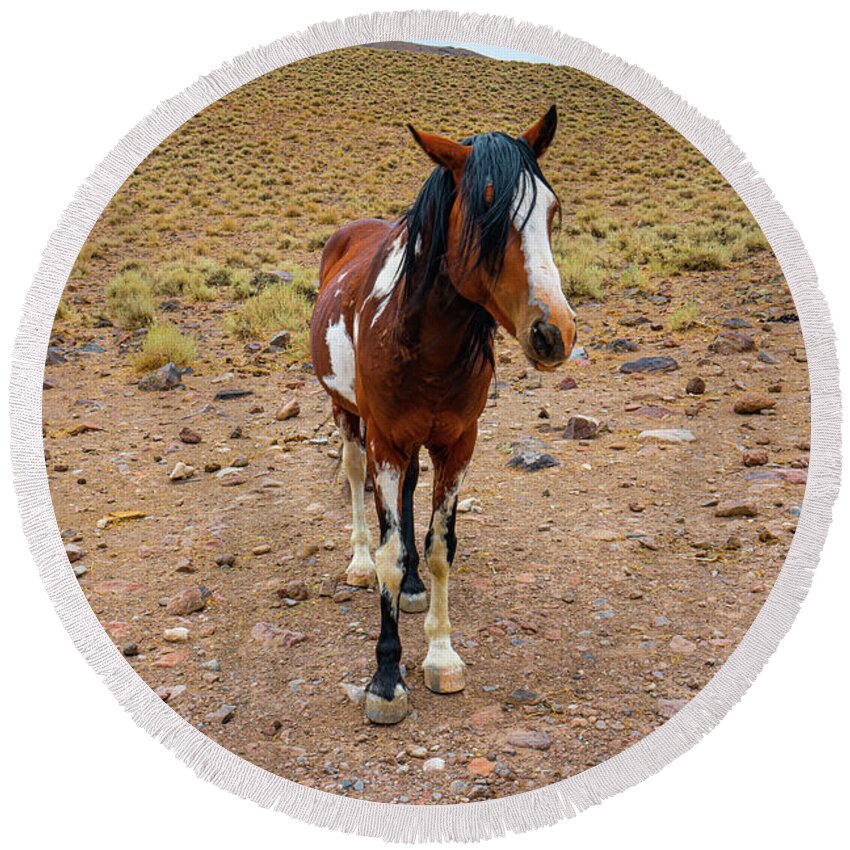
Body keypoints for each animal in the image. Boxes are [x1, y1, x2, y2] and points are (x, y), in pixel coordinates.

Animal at [308, 106, 572, 724]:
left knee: (407, 501)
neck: (422, 341)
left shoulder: (457, 443)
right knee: (356, 482)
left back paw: (409, 588)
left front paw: (441, 654)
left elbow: (437, 548)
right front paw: (386, 678)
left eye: (552, 211)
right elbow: (391, 550)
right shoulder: (384, 440)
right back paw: (358, 562)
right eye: (483, 214)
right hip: (348, 416)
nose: (555, 333)